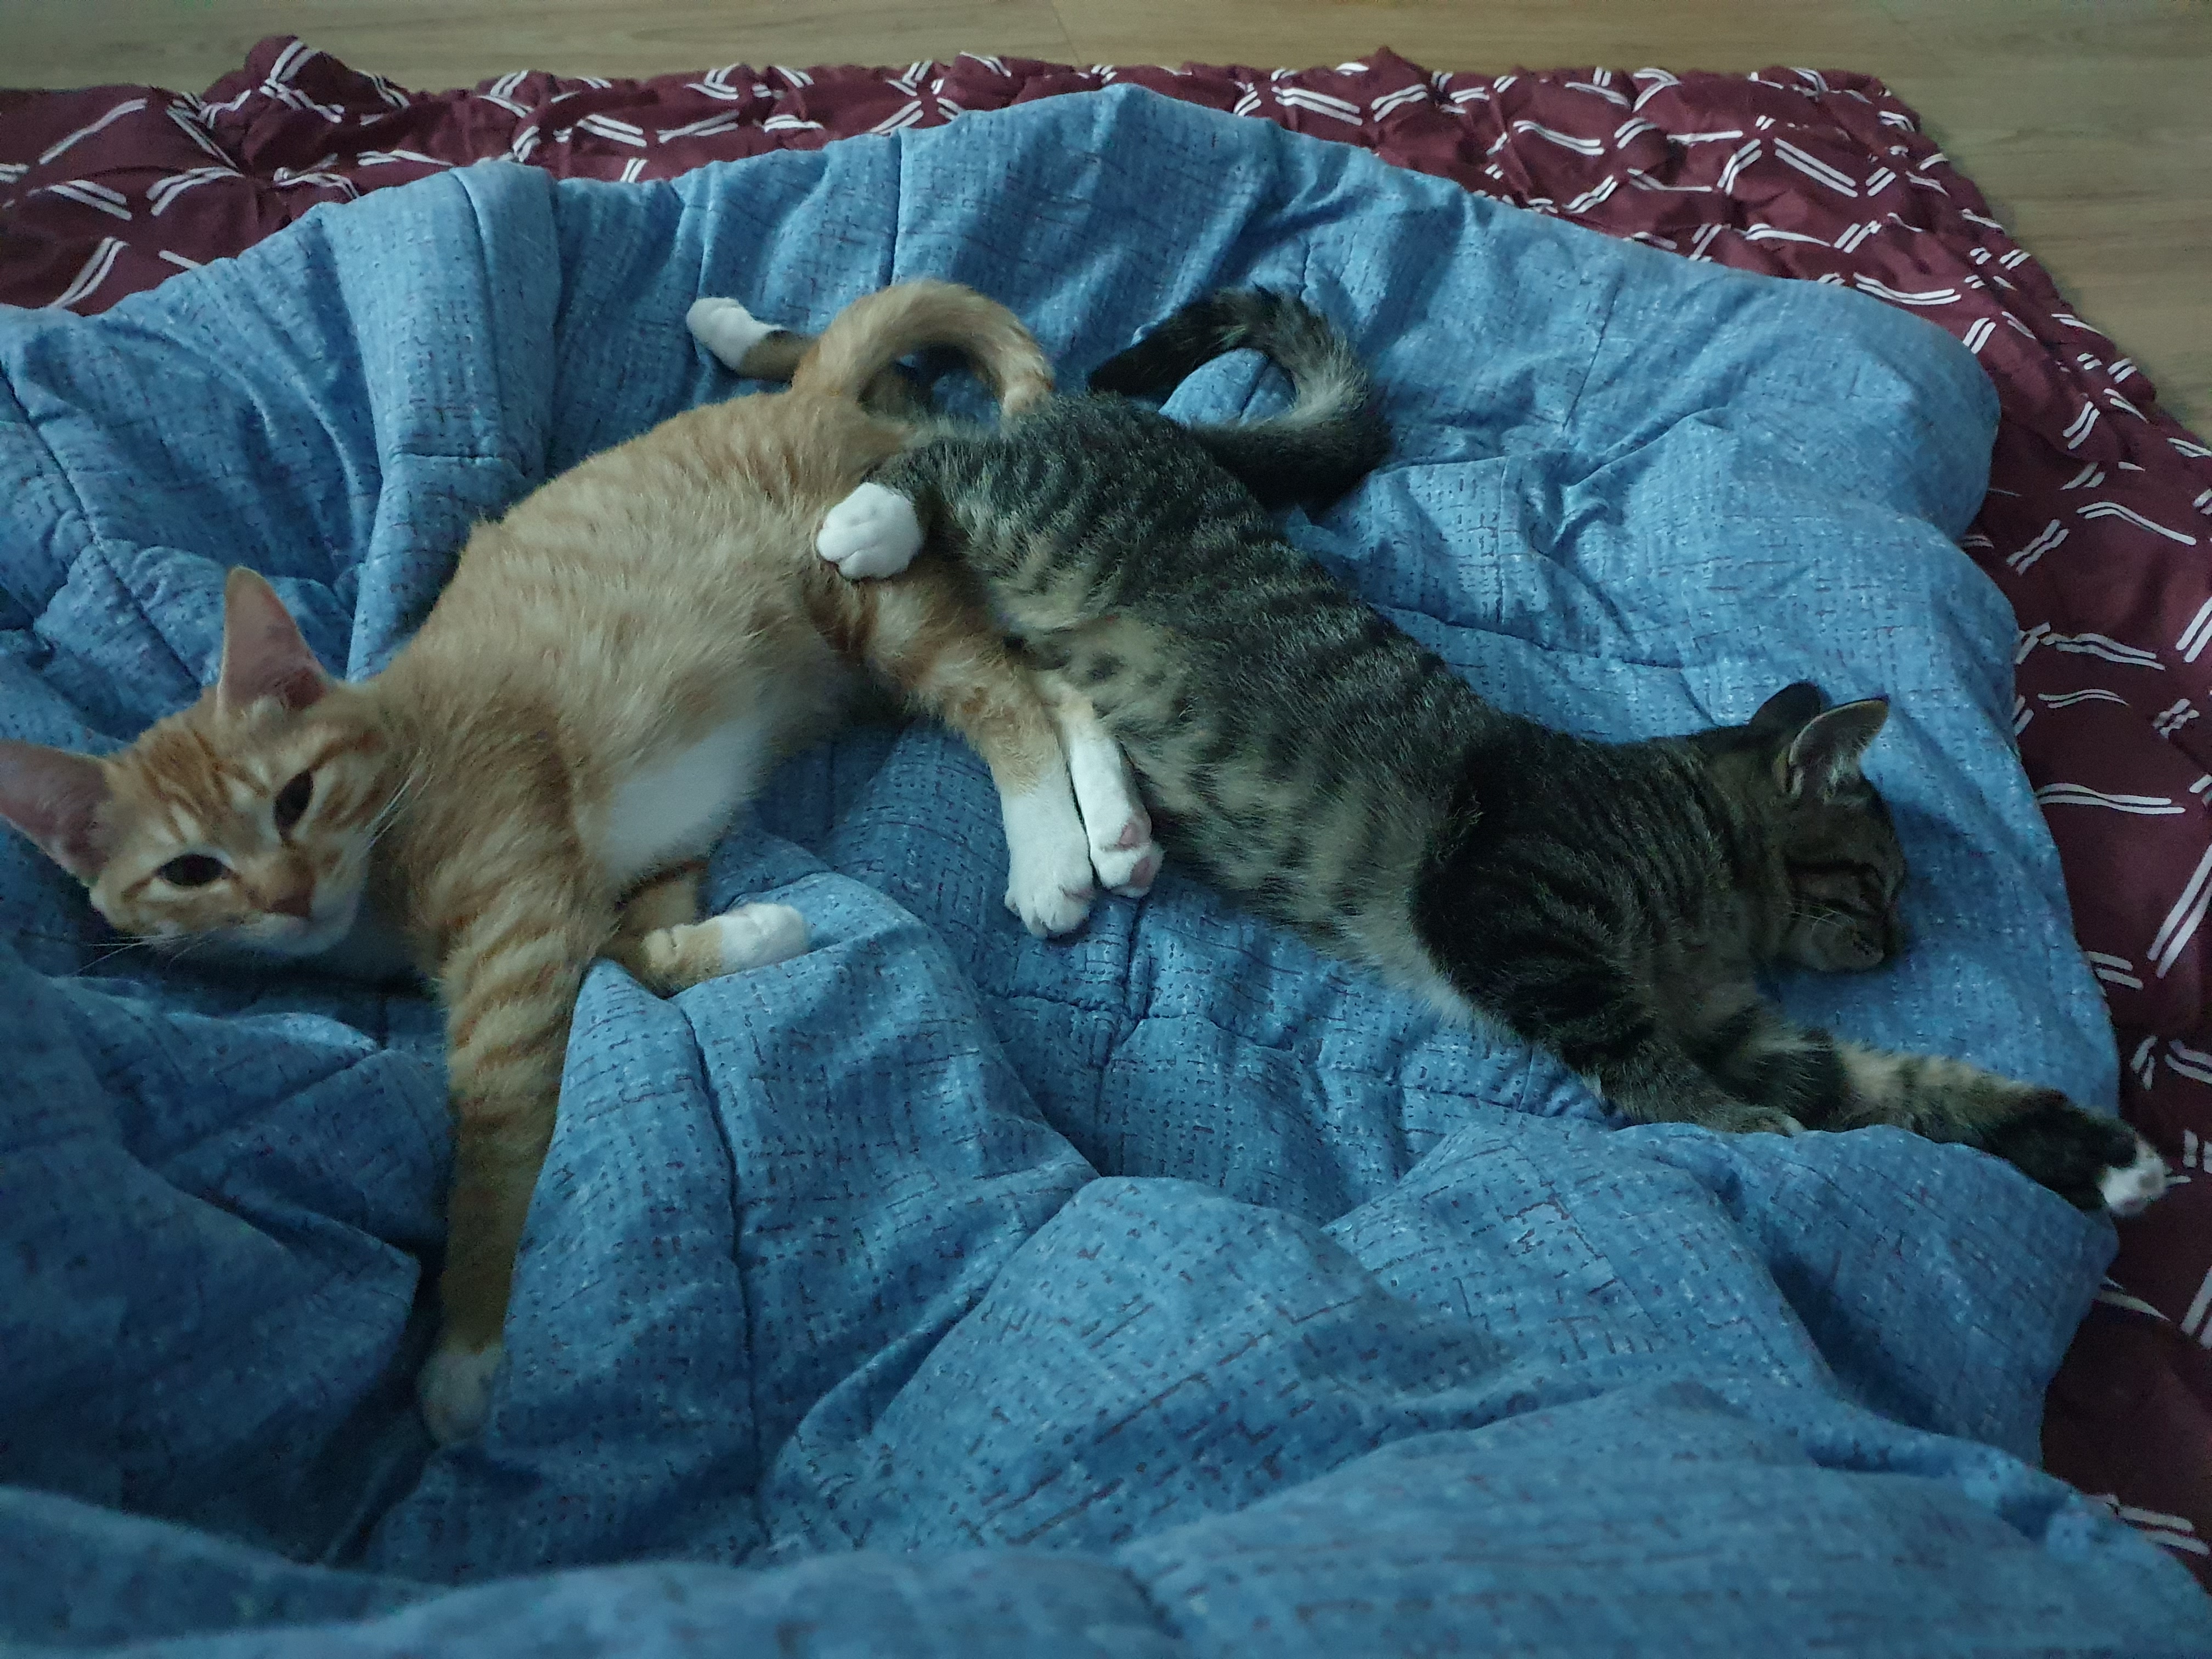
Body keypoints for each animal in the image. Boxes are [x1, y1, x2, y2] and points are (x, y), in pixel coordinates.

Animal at [0, 280, 1164, 1445]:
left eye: (294, 797)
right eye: (191, 871)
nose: (286, 896)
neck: (391, 803)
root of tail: (811, 395)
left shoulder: (519, 939)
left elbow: (496, 1127)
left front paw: (467, 1339)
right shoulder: (608, 887)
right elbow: (639, 951)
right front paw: (756, 932)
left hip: (875, 598)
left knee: (1005, 699)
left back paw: (1049, 849)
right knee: (1059, 682)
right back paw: (1113, 830)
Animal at [801, 286, 2170, 1219]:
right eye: (1882, 883)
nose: (1902, 943)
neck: (1705, 878)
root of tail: (1176, 437)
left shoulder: (1744, 1022)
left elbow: (1911, 1085)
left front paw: (2100, 1156)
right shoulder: (1507, 915)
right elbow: (1647, 1062)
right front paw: (1735, 1127)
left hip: (1060, 612)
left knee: (1050, 675)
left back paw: (1117, 831)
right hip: (1042, 523)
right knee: (941, 455)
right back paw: (869, 519)